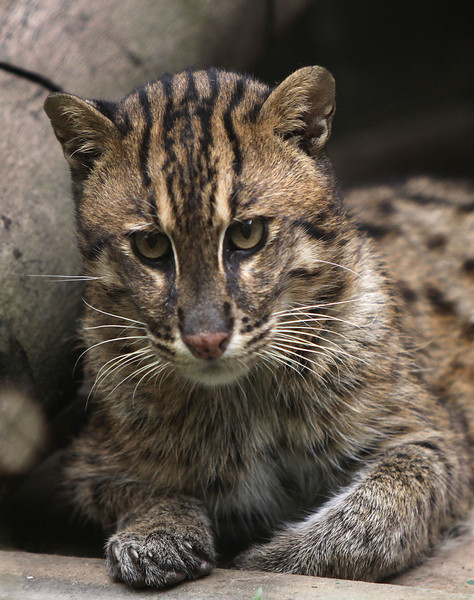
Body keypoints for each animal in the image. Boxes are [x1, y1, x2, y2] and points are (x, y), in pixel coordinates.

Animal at [42, 65, 472, 584]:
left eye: (248, 234)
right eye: (150, 246)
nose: (206, 340)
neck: (246, 399)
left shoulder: (433, 436)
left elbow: (381, 513)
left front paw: (270, 558)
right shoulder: (85, 462)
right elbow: (141, 490)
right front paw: (156, 532)